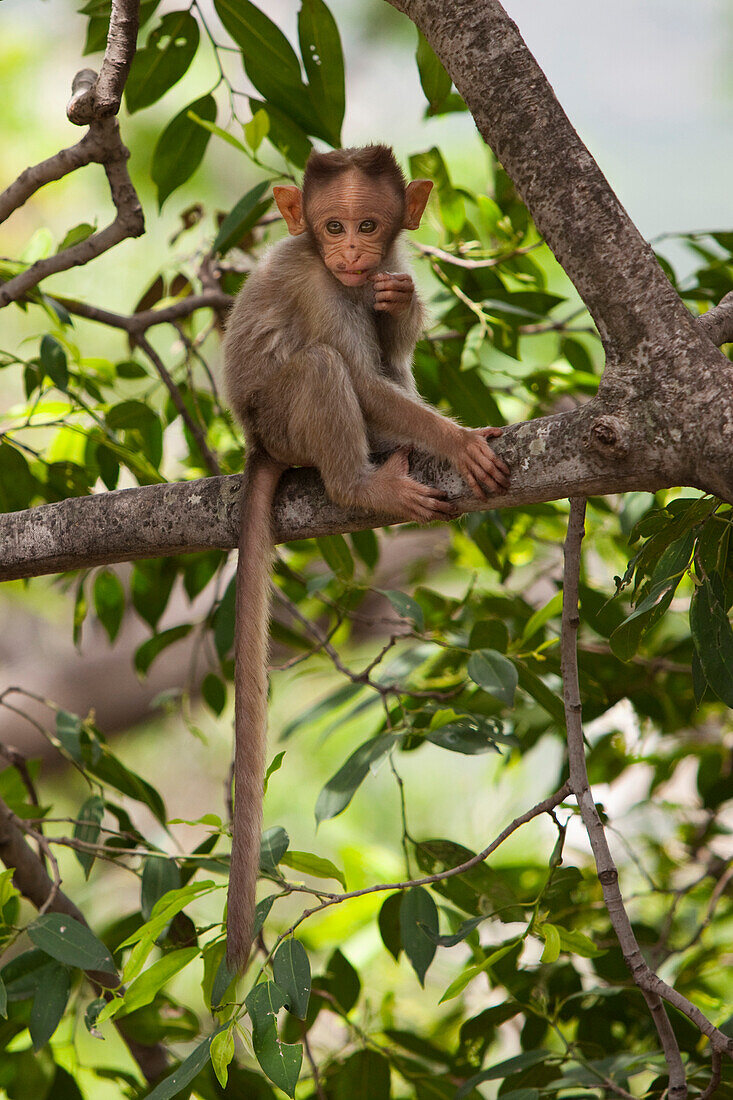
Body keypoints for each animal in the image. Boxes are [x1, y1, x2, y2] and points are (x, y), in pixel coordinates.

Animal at [222, 141, 508, 968]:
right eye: (332, 225)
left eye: (369, 225)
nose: (351, 251)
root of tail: (254, 440)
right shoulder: (322, 287)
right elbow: (358, 376)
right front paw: (452, 438)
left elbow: (393, 347)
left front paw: (398, 299)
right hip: (282, 418)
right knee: (322, 369)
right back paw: (363, 481)